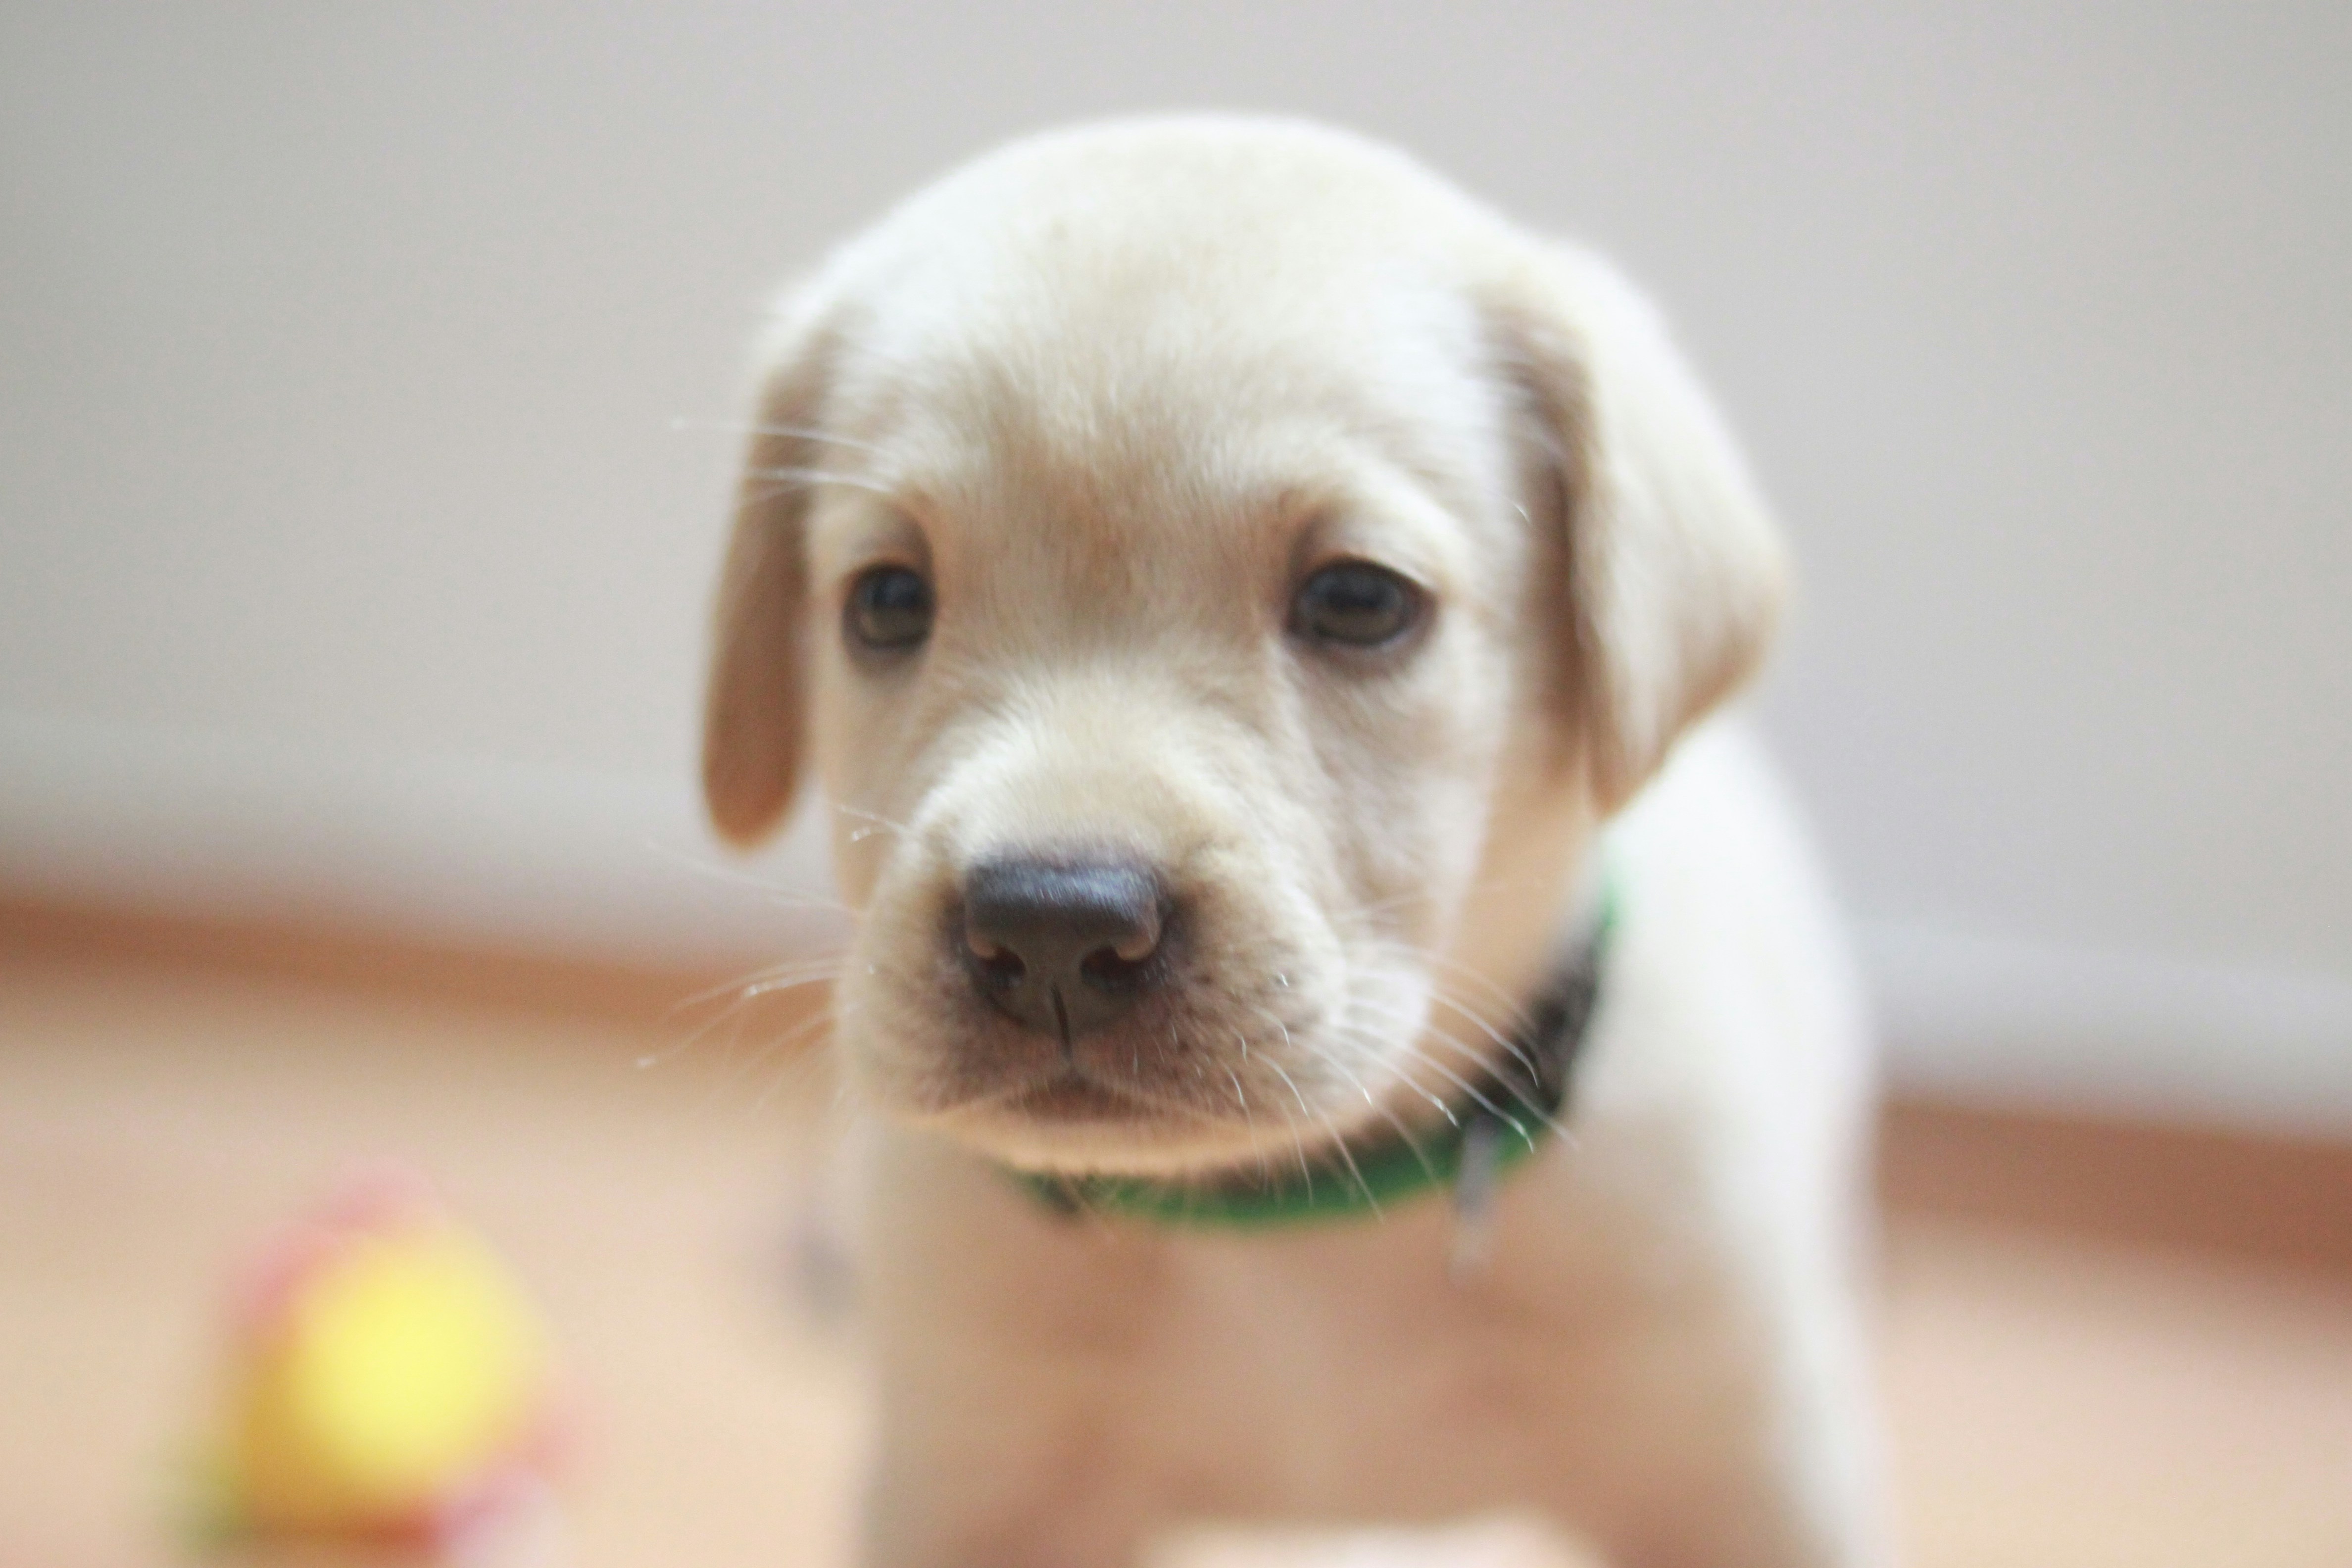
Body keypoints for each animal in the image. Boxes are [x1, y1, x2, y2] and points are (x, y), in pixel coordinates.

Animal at [701, 117, 1881, 1568]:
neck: (1286, 1229)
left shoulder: (1745, 1467)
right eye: (884, 601)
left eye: (1359, 599)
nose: (1051, 928)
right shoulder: (971, 1482)